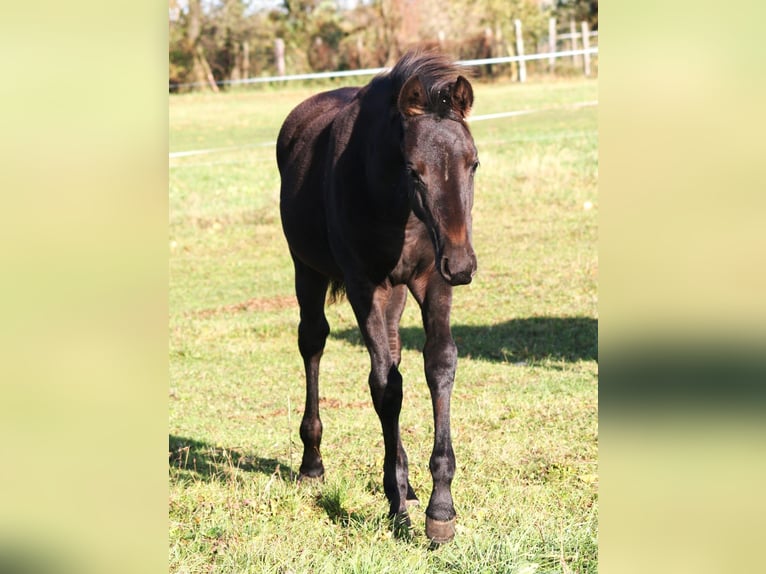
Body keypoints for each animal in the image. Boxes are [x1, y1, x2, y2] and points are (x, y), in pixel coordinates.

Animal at [276, 51, 479, 544]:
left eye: (474, 163)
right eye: (413, 171)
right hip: (307, 269)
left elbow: (438, 365)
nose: (463, 265)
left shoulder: (431, 280)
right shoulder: (364, 285)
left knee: (393, 351)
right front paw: (398, 504)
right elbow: (385, 387)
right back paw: (312, 463)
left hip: (398, 294)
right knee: (313, 341)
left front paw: (439, 508)